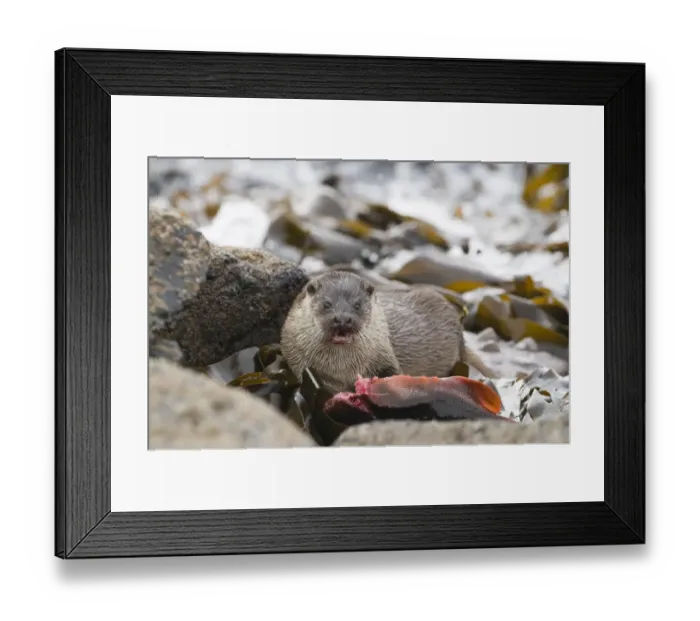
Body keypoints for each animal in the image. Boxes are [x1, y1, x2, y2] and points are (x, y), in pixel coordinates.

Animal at [280, 270, 495, 395]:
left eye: (357, 305)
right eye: (327, 304)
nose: (342, 319)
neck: (341, 369)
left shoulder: (384, 354)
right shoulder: (297, 359)